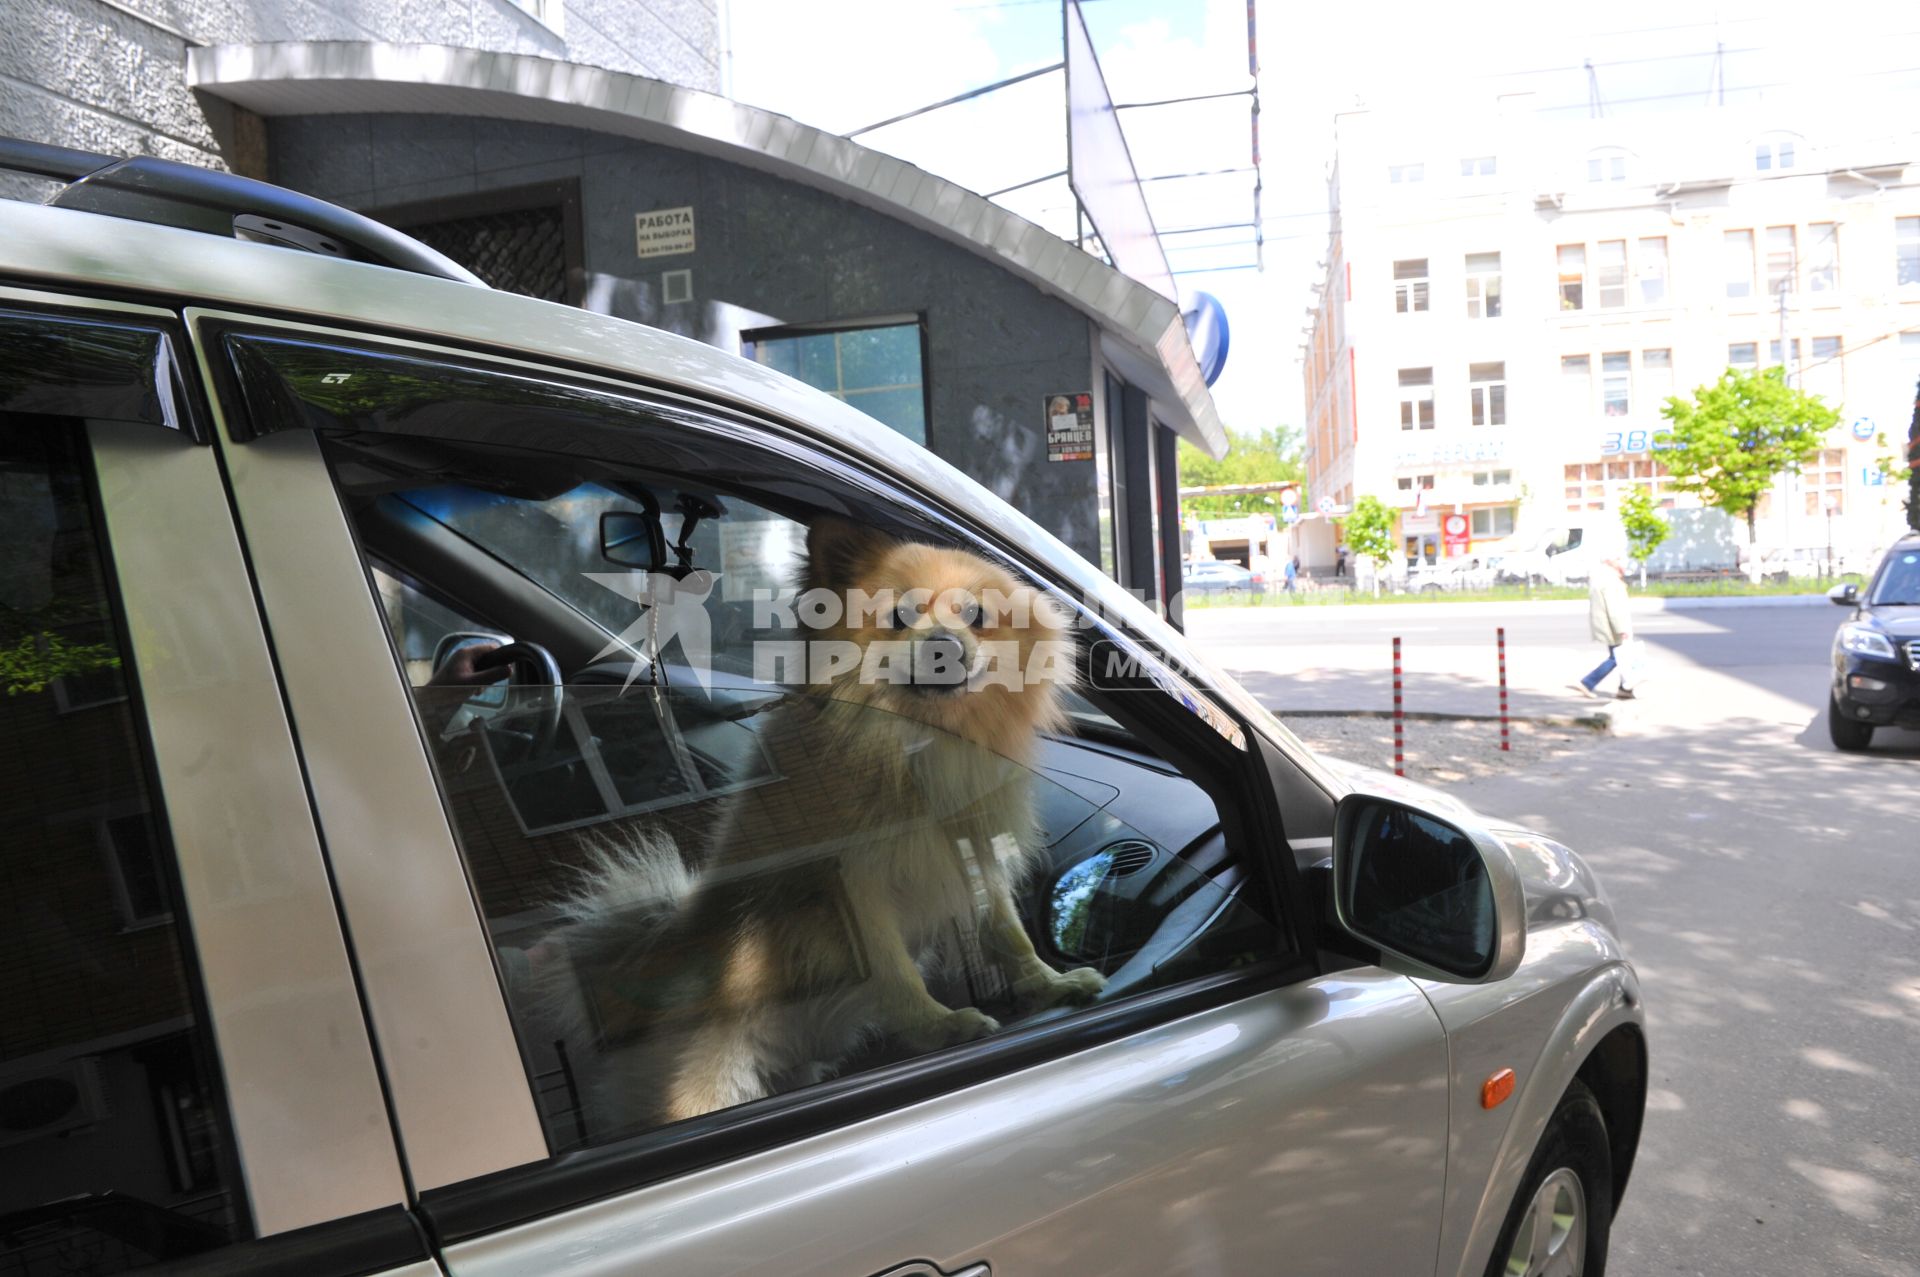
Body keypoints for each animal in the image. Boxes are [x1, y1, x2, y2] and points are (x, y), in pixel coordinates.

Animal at [549, 514, 1105, 1129]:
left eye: (977, 616)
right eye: (899, 618)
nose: (943, 643)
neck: (915, 741)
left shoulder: (972, 847)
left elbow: (1006, 930)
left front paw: (1049, 984)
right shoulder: (852, 883)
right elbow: (892, 968)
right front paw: (938, 1026)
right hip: (703, 1079)